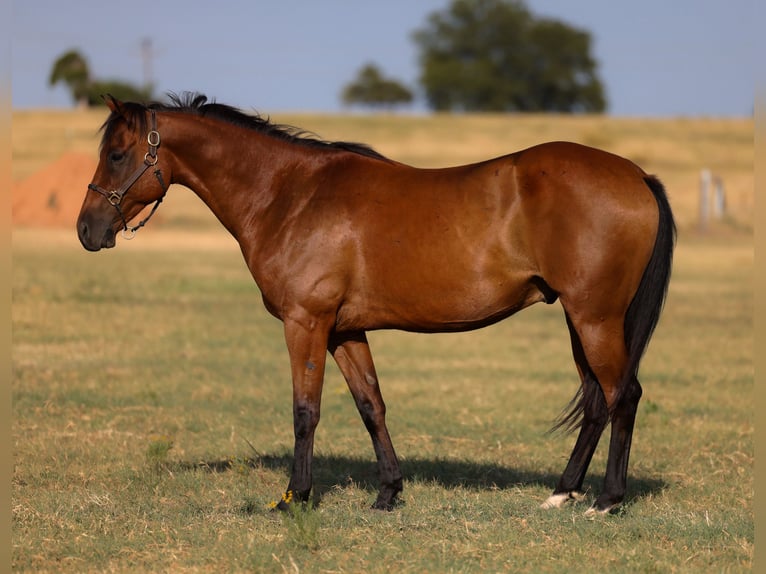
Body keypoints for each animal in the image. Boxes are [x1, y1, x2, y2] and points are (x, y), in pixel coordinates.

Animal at [77, 93, 675, 515]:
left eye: (117, 154)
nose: (87, 229)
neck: (290, 195)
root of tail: (637, 175)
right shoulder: (344, 330)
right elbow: (371, 405)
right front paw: (388, 492)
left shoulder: (306, 324)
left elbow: (306, 411)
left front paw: (295, 497)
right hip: (581, 318)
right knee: (597, 400)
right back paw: (562, 493)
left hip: (595, 317)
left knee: (623, 395)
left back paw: (607, 500)